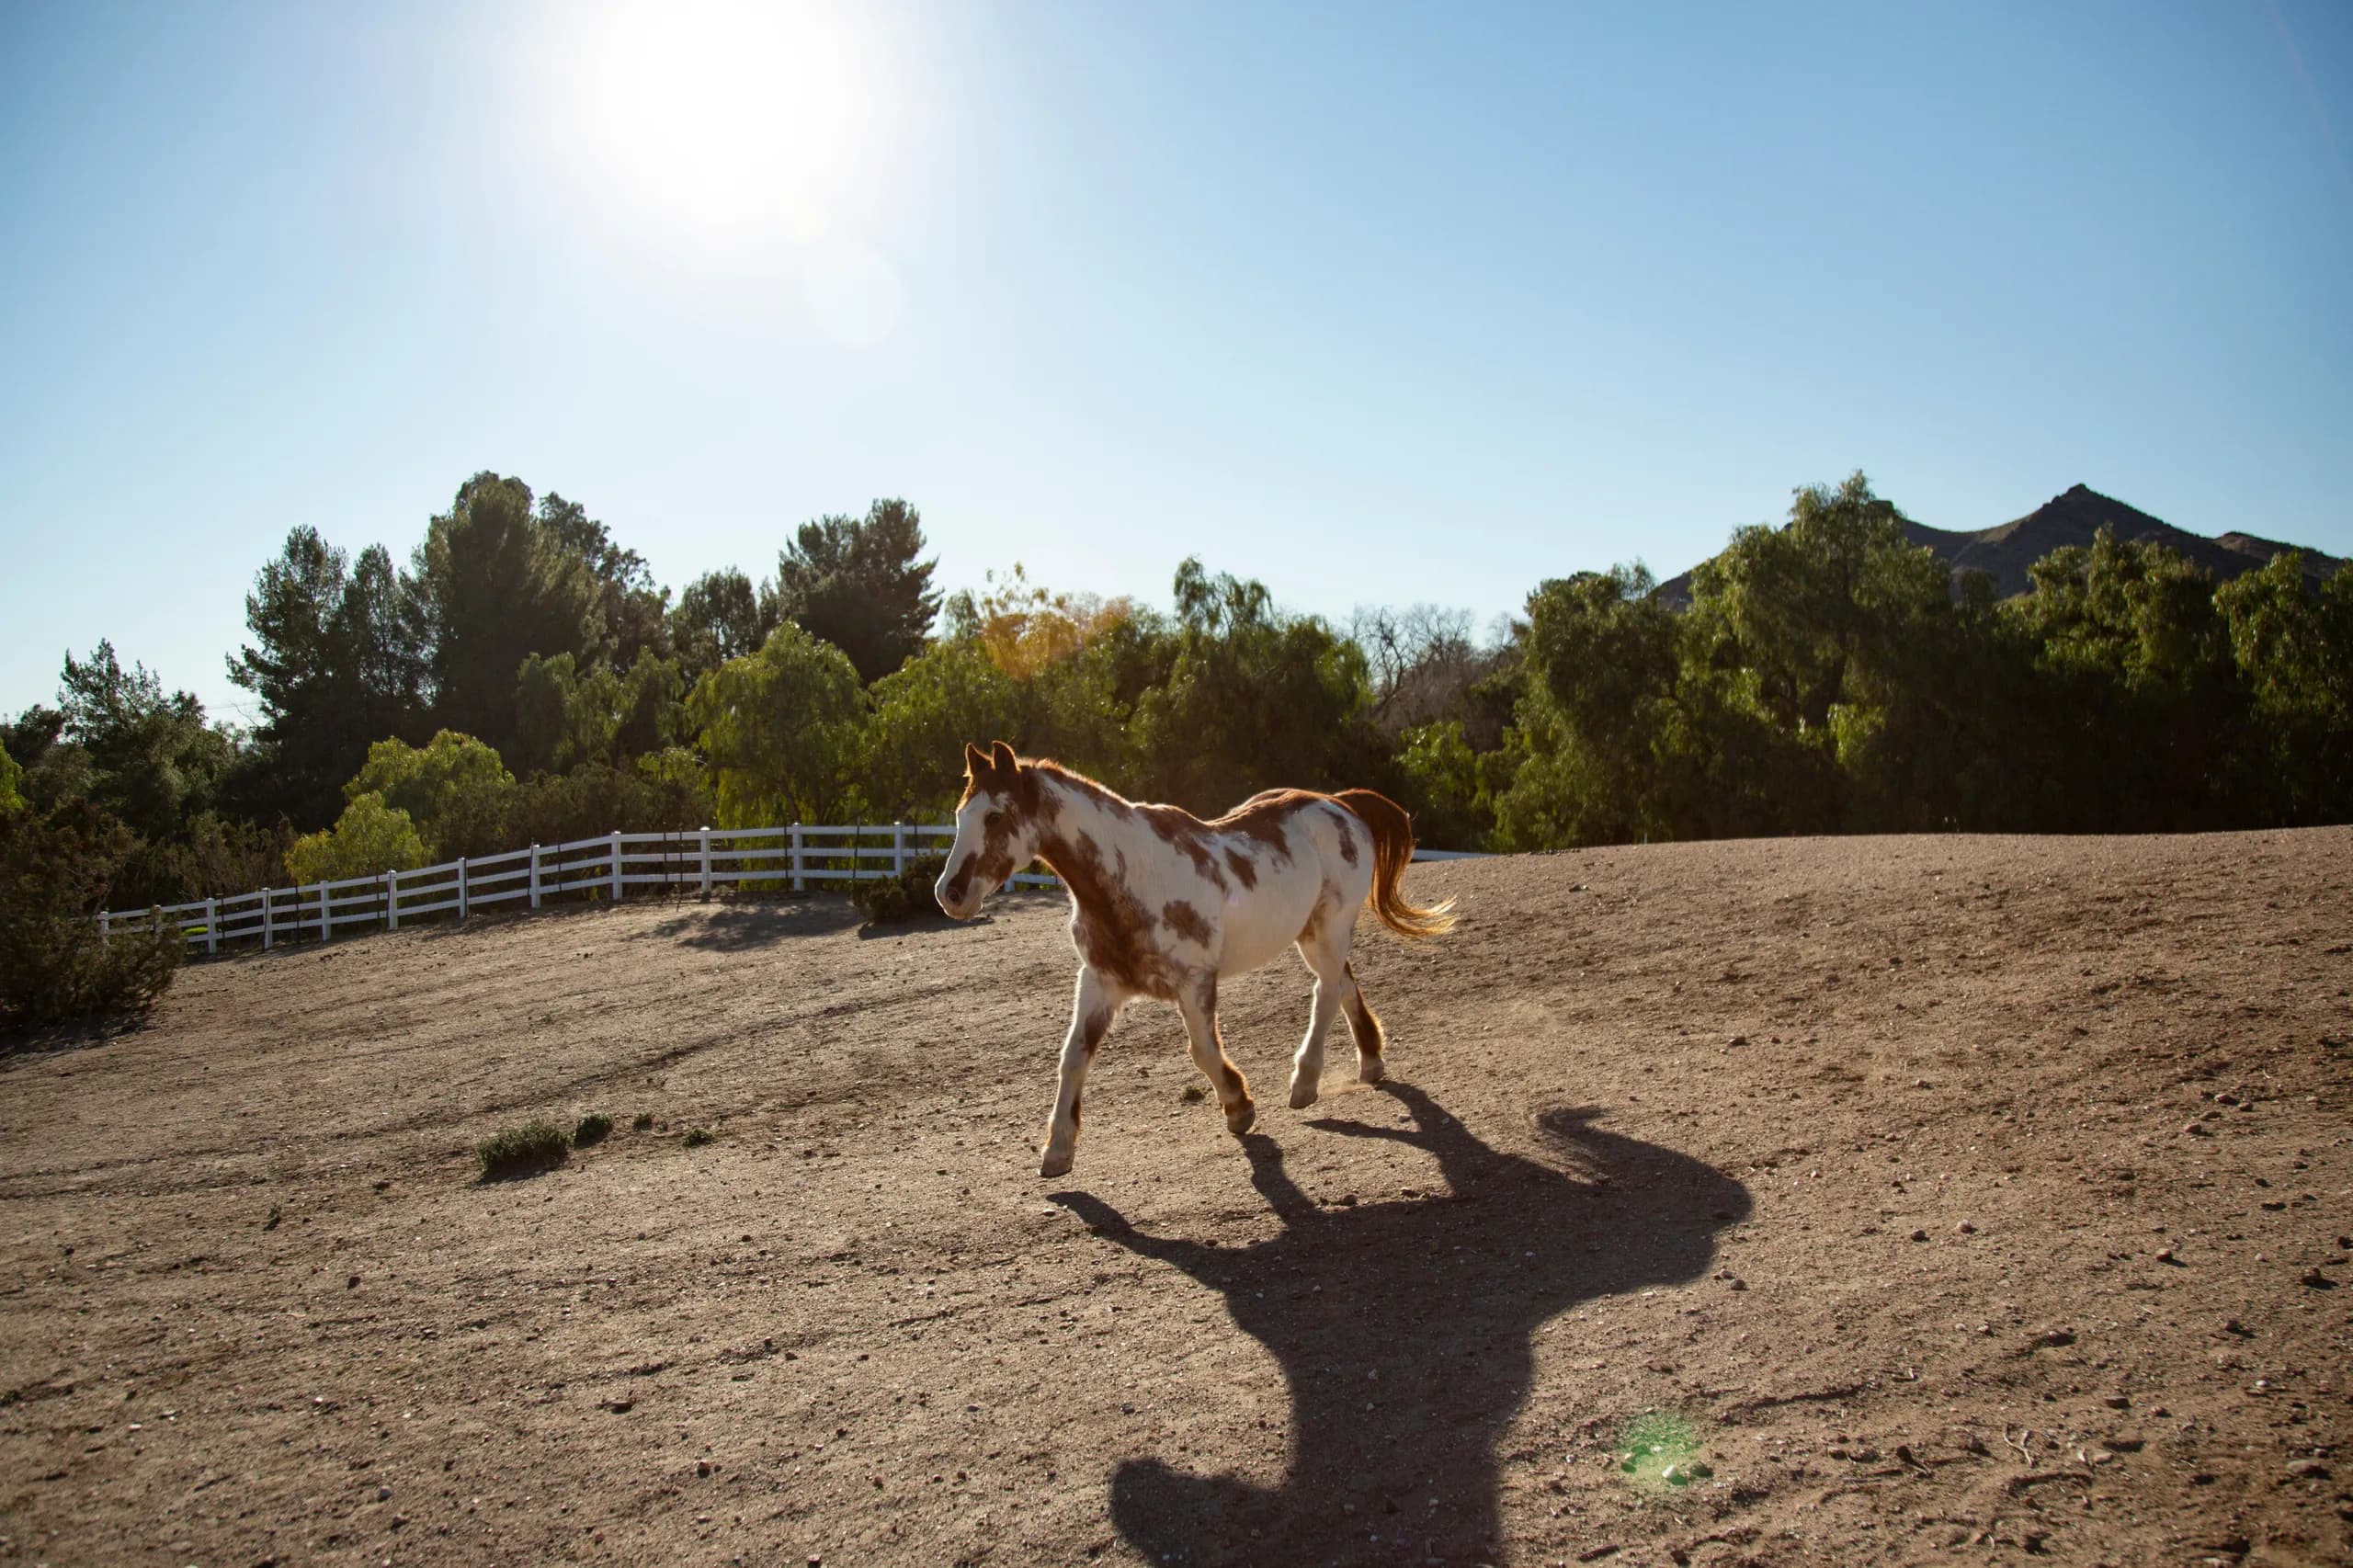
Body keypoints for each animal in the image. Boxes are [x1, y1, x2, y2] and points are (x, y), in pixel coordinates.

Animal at [934, 740, 1456, 1177]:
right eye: (960, 815)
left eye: (995, 816)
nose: (950, 893)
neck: (1131, 875)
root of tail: (1341, 805)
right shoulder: (1100, 982)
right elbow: (1073, 1056)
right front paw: (1058, 1149)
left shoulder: (1195, 980)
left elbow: (1203, 1052)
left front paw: (1240, 1107)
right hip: (1315, 933)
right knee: (1342, 984)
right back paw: (1370, 1062)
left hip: (1328, 928)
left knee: (1326, 993)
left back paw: (1305, 1082)